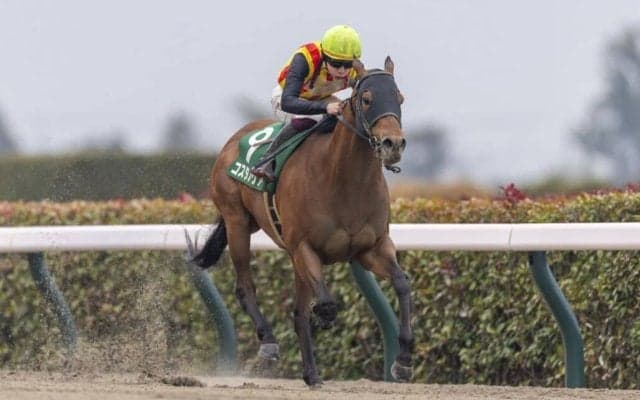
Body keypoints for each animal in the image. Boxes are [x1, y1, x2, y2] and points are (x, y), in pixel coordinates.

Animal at [191, 57, 413, 387]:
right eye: (366, 98)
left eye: (399, 98)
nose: (392, 144)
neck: (343, 181)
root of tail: (233, 140)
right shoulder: (303, 248)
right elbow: (324, 304)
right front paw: (323, 318)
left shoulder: (372, 248)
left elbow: (402, 284)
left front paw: (404, 360)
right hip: (237, 223)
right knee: (245, 286)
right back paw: (269, 341)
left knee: (297, 311)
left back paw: (311, 373)